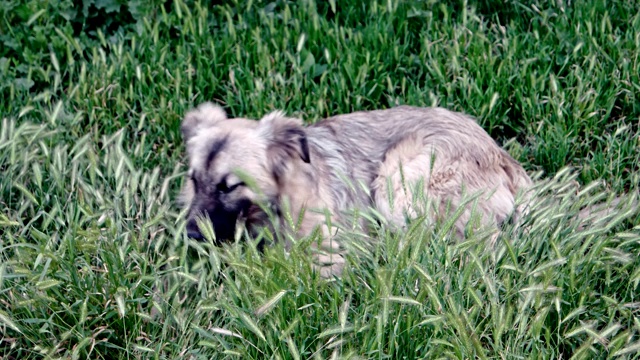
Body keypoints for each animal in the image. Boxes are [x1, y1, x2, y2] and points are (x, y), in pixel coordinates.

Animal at [178, 102, 532, 278]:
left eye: (230, 186)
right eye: (194, 180)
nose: (191, 235)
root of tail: (503, 156)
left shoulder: (329, 253)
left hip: (396, 180)